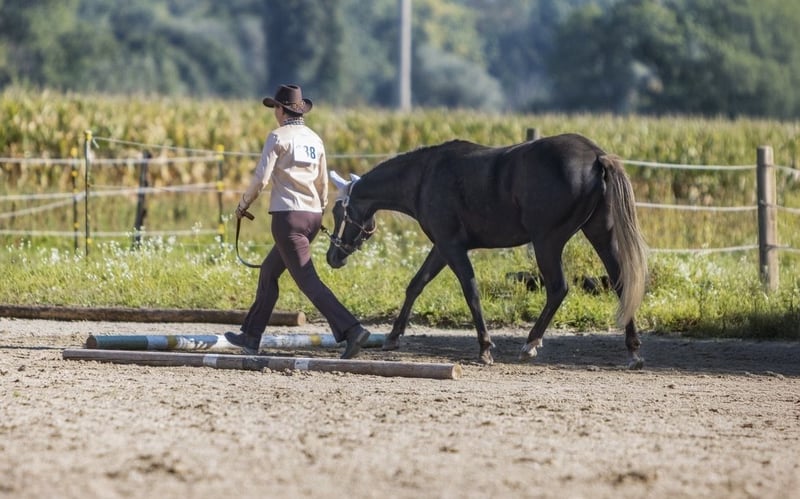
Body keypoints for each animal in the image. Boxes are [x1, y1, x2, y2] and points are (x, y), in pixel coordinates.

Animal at [326, 133, 648, 368]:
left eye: (339, 212)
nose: (332, 257)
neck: (424, 176)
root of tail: (596, 156)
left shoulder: (452, 247)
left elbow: (470, 292)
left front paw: (485, 348)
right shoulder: (442, 247)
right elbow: (416, 284)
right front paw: (393, 337)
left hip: (547, 241)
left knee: (558, 288)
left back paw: (530, 344)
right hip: (600, 233)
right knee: (620, 281)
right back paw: (632, 352)